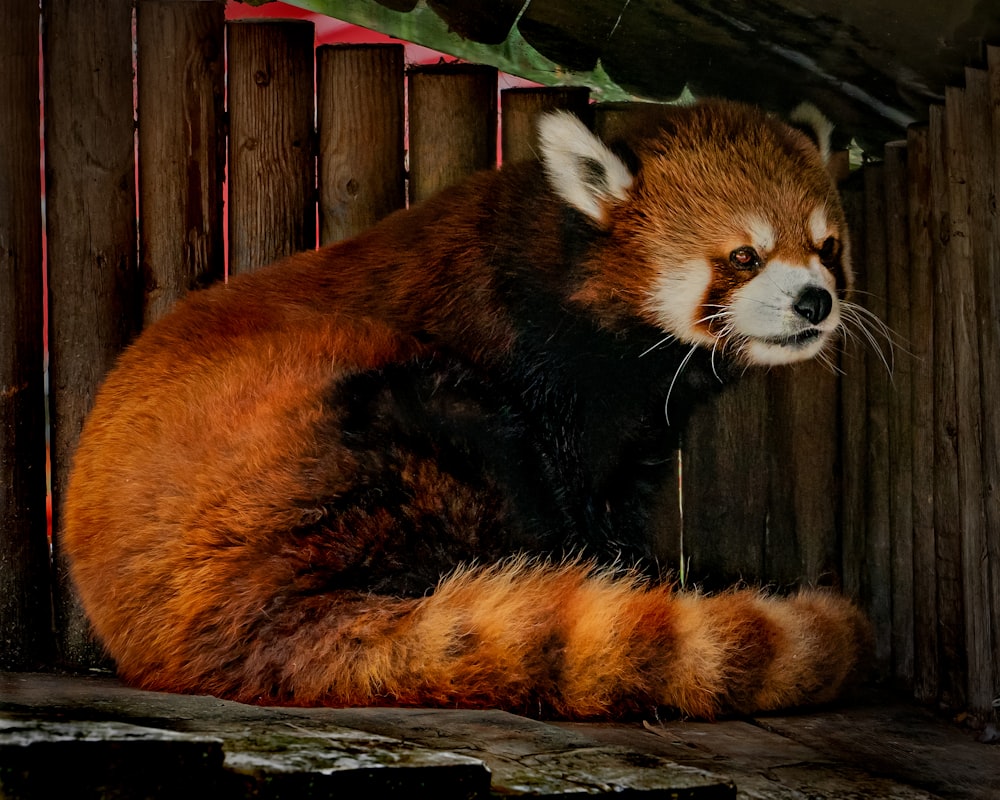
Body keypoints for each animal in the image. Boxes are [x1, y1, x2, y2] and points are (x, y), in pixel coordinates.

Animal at [66, 98, 872, 720]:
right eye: (745, 257)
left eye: (827, 248)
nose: (814, 301)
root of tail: (233, 622)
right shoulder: (538, 358)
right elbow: (567, 487)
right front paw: (619, 572)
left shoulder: (636, 423)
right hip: (343, 430)